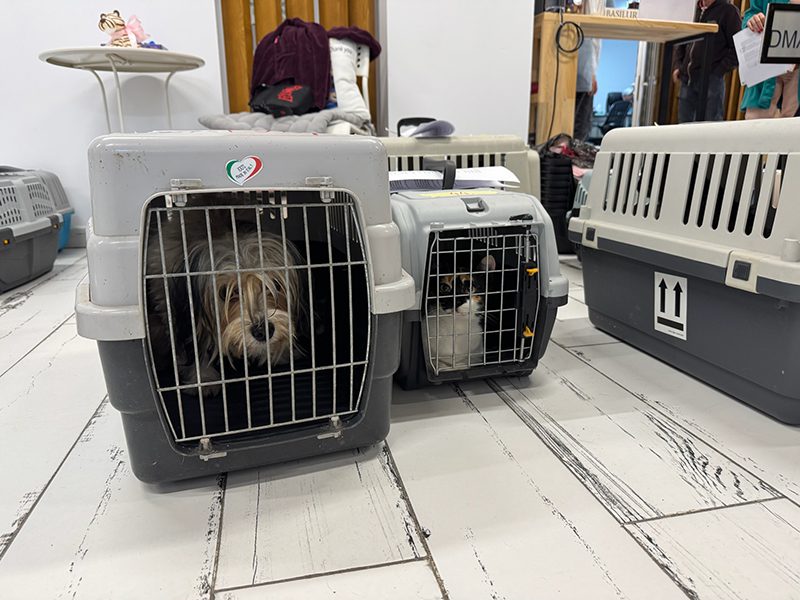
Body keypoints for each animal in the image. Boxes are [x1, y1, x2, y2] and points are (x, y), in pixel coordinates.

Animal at [145, 210, 303, 395]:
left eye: (275, 285)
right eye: (226, 292)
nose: (263, 331)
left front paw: (280, 353)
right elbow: (196, 341)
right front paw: (204, 377)